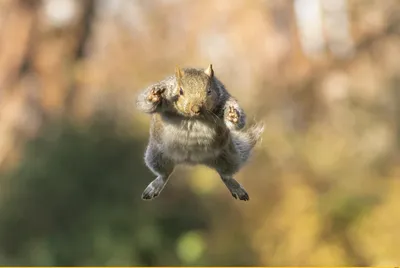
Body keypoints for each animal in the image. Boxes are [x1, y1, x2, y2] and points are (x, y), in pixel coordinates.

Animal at [136, 63, 264, 200]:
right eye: (180, 91)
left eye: (209, 91)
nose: (196, 108)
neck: (193, 117)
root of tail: (194, 161)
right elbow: (144, 104)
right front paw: (154, 97)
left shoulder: (224, 98)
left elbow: (238, 120)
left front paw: (233, 116)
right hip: (156, 156)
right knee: (164, 174)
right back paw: (155, 186)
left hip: (229, 158)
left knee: (225, 175)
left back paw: (235, 187)